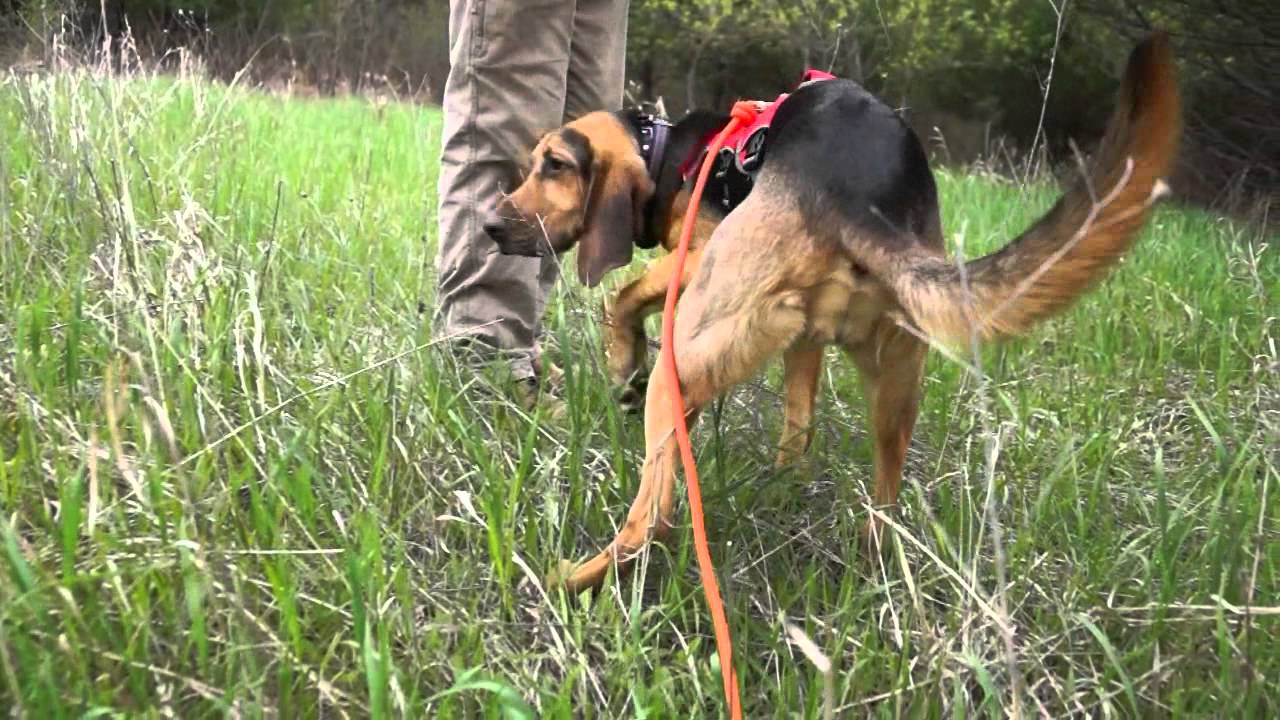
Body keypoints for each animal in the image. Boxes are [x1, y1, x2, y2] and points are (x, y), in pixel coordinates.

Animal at [486, 33, 1177, 589]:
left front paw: (624, 367)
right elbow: (799, 418)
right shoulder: (804, 337)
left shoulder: (695, 252)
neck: (671, 152)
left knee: (652, 518)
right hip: (896, 381)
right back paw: (855, 559)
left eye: (554, 165)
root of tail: (848, 195)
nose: (490, 225)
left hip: (686, 361)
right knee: (869, 488)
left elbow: (623, 295)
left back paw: (571, 578)